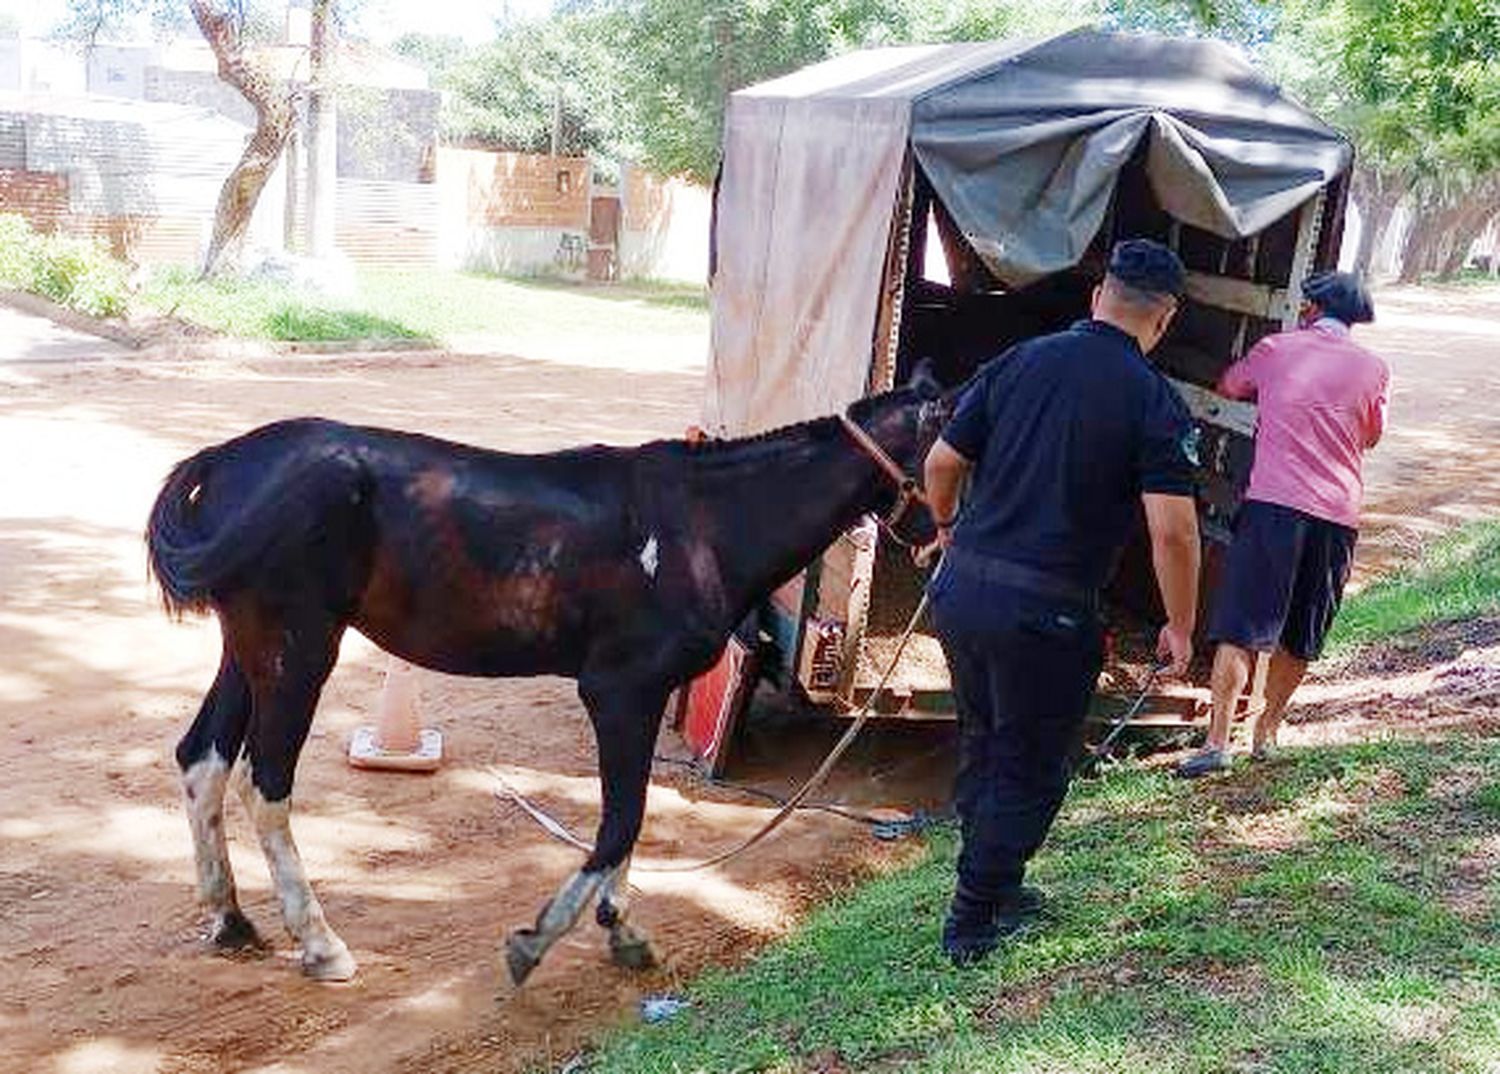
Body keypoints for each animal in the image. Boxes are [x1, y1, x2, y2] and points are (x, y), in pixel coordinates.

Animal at [149, 367, 948, 984]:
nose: (939, 551)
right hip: (299, 655)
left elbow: (630, 815)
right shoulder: (620, 692)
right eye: (955, 457)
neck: (702, 524)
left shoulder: (641, 698)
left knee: (203, 761)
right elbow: (621, 821)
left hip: (251, 654)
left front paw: (621, 929)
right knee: (265, 785)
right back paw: (320, 944)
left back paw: (231, 919)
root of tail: (225, 463)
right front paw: (540, 940)